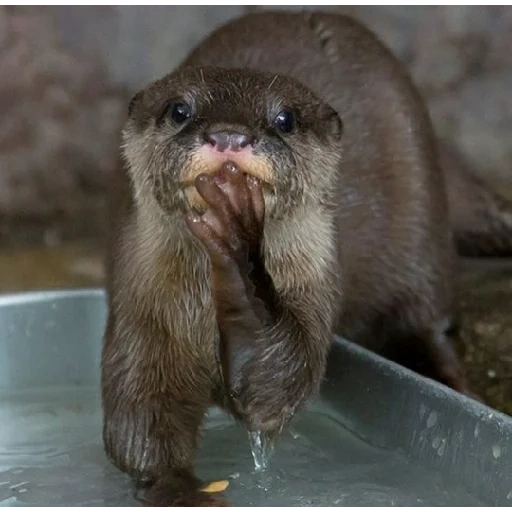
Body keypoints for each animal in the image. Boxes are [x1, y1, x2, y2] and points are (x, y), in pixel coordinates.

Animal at [100, 8, 508, 508]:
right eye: (180, 110)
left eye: (284, 118)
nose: (229, 136)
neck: (202, 314)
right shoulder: (141, 309)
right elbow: (139, 418)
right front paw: (181, 492)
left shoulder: (317, 273)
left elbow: (278, 387)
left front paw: (238, 239)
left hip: (424, 226)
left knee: (428, 321)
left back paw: (452, 385)